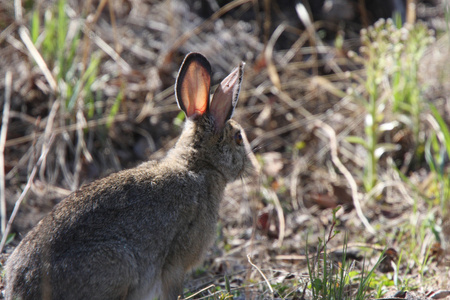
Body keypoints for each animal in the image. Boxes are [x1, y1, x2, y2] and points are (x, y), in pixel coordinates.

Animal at [3, 52, 248, 298]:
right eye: (238, 138)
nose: (248, 164)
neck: (197, 165)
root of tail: (24, 288)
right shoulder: (176, 264)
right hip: (120, 265)